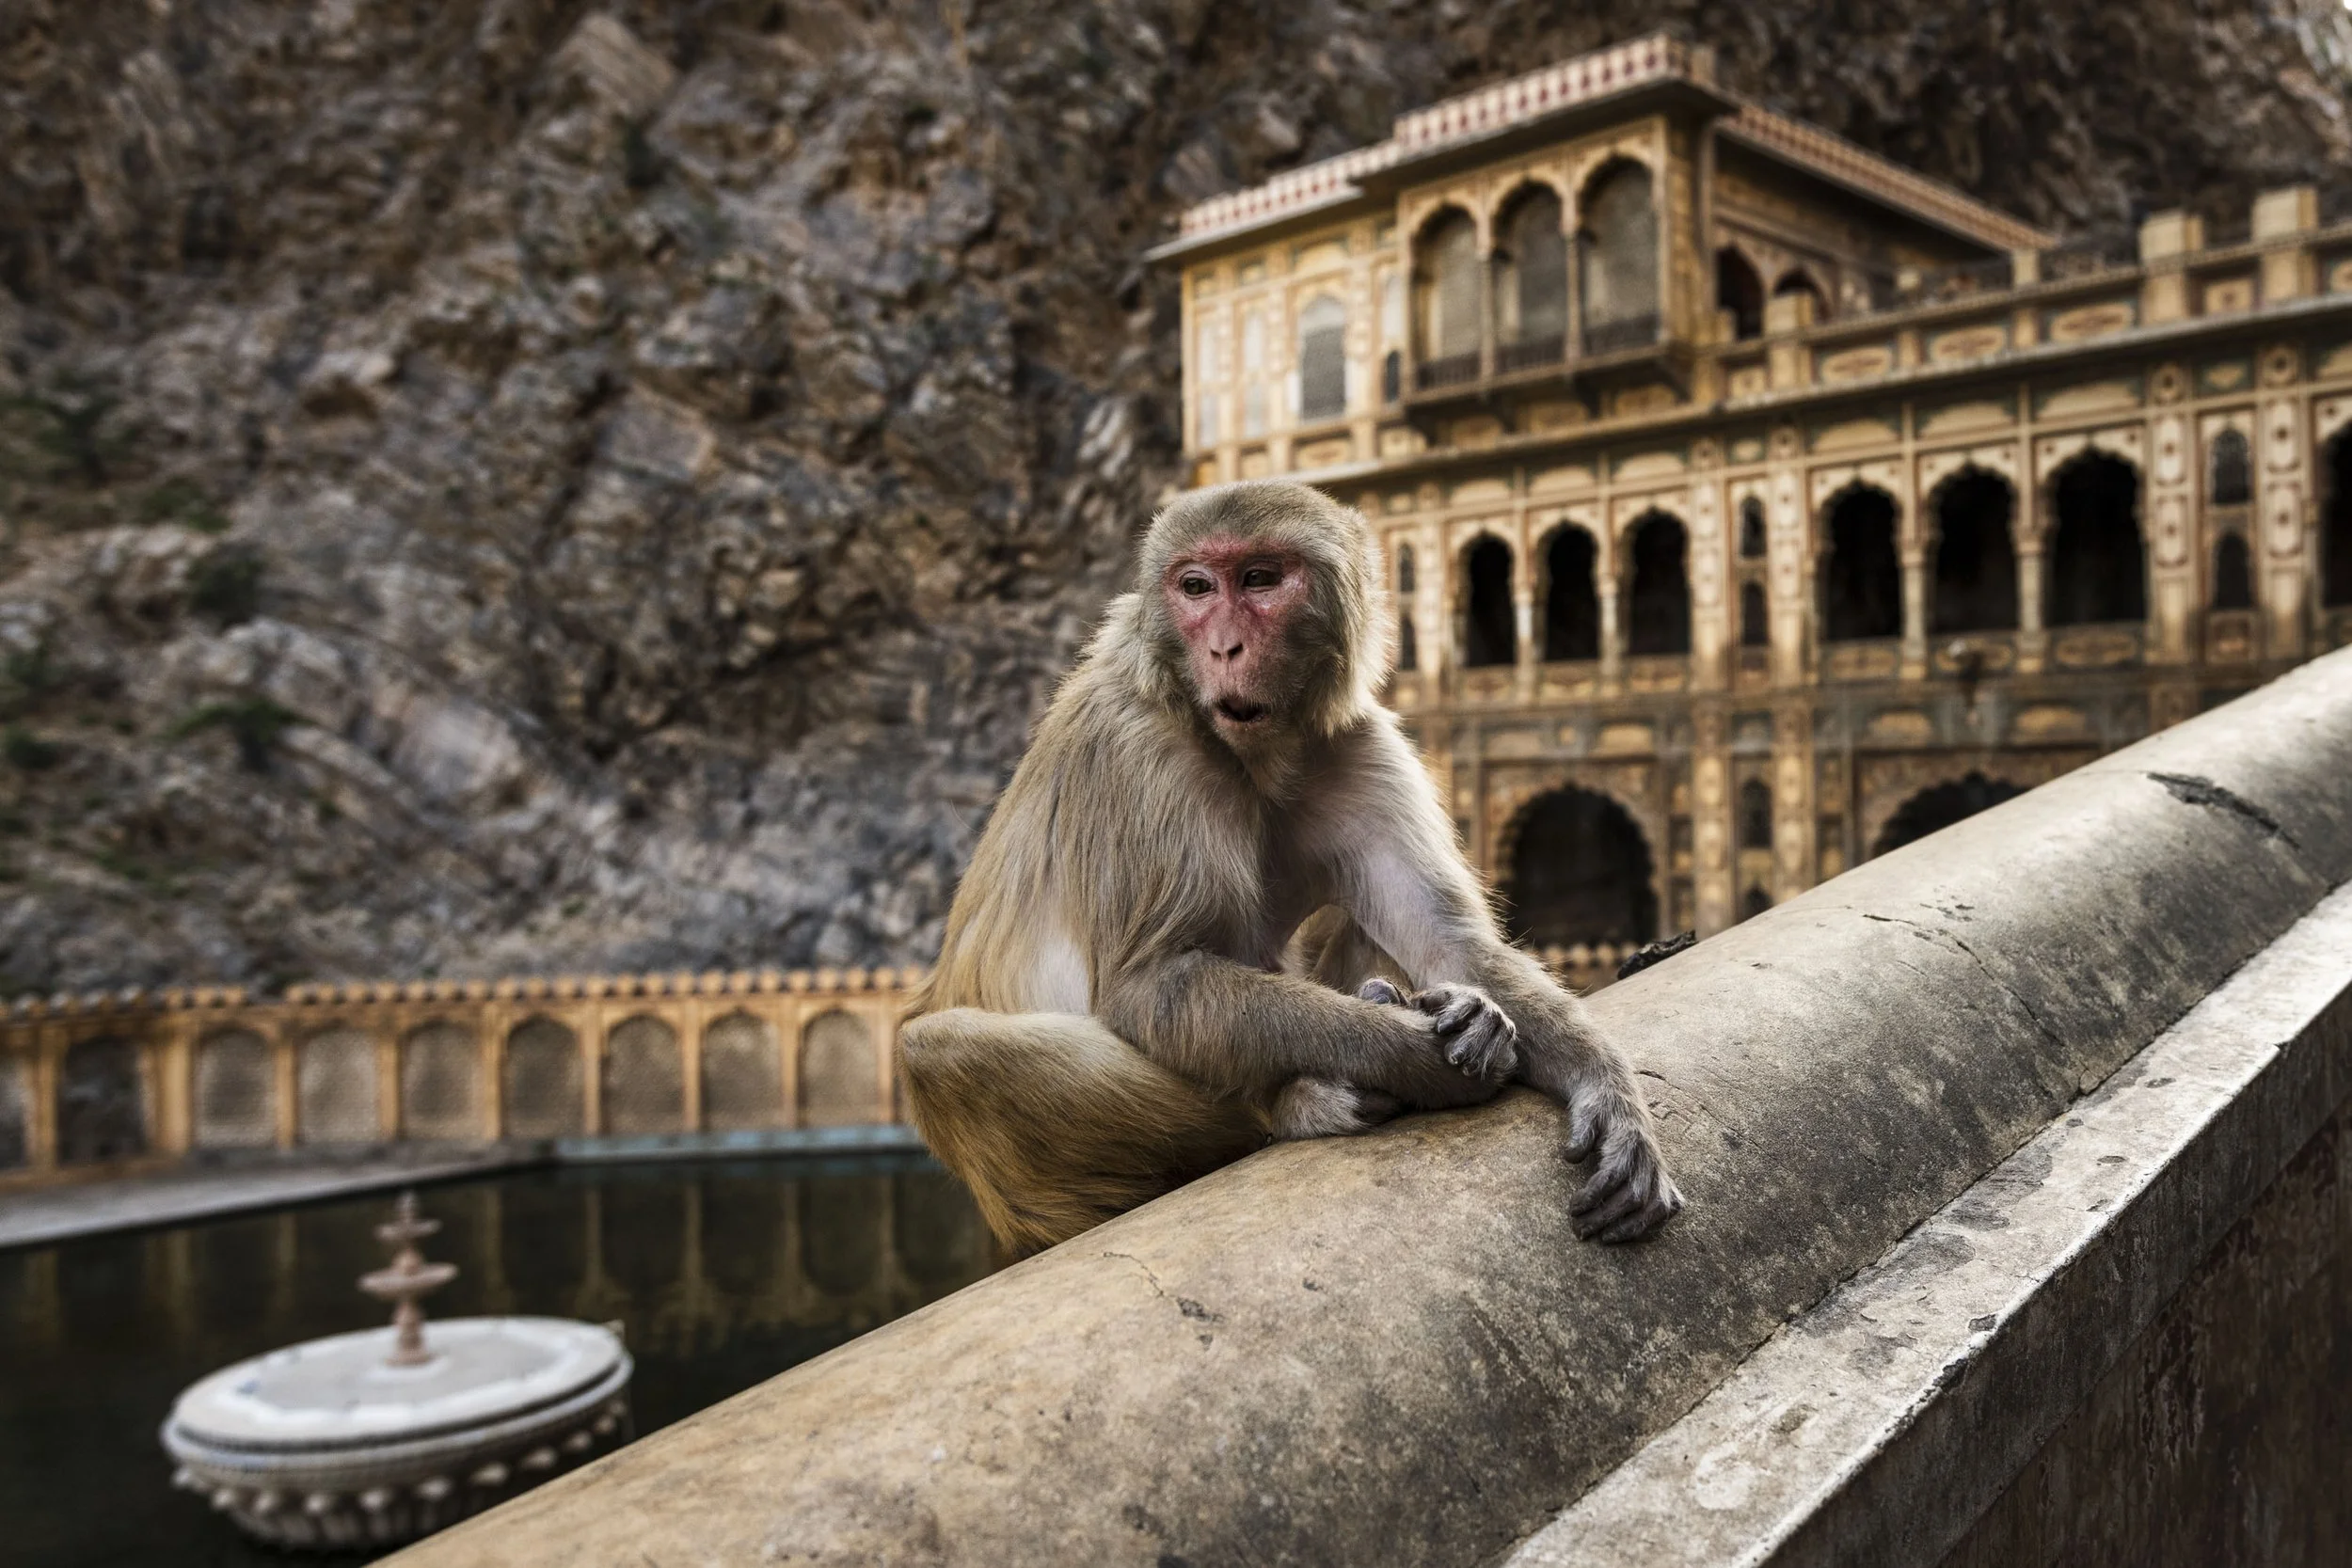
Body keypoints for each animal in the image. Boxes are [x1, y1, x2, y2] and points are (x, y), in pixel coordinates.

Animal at [900, 479, 1683, 1255]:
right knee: (936, 1050)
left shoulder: (1359, 746)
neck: (1256, 751)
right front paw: (1413, 1054)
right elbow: (1155, 981)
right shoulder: (1139, 748)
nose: (1224, 647)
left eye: (1260, 579)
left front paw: (1606, 1088)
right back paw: (1302, 1103)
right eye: (1195, 586)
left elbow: (1449, 942)